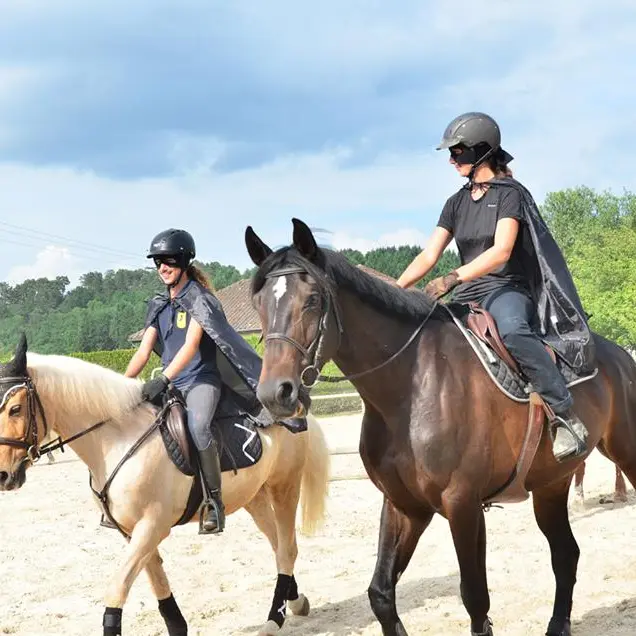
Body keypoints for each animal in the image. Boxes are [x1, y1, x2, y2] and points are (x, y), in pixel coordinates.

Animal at [243, 219, 636, 636]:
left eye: (313, 299)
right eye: (259, 303)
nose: (275, 392)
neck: (411, 389)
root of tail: (618, 355)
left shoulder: (462, 504)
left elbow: (475, 598)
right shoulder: (405, 505)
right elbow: (381, 594)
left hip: (624, 453)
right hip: (550, 484)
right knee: (565, 554)